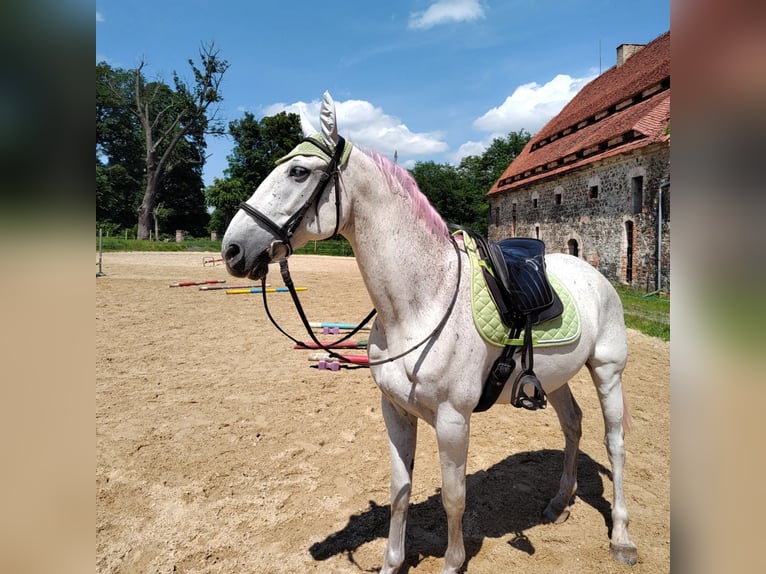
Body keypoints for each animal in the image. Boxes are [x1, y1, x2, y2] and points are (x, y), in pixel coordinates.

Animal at [224, 93, 640, 574]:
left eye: (298, 172)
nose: (232, 249)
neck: (421, 305)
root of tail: (592, 272)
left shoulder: (452, 420)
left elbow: (454, 498)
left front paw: (452, 562)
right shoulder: (395, 411)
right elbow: (400, 492)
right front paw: (392, 562)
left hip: (606, 371)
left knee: (615, 444)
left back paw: (622, 538)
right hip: (556, 379)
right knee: (572, 424)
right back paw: (560, 503)